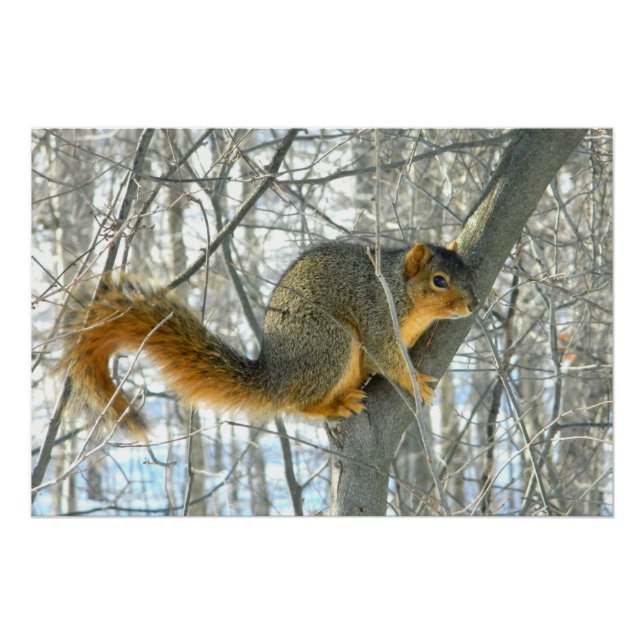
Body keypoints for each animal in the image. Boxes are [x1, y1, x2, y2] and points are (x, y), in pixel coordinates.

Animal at [60, 240, 478, 437]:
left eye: (470, 272)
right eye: (439, 280)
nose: (474, 304)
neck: (400, 291)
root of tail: (274, 376)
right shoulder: (376, 315)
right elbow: (386, 356)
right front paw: (415, 380)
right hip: (330, 344)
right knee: (296, 403)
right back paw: (336, 403)